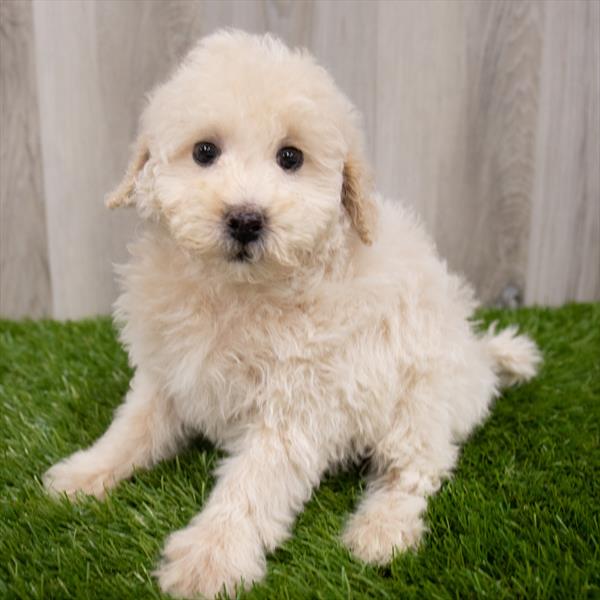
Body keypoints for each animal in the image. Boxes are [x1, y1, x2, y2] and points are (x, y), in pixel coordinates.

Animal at [42, 31, 540, 600]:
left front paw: (210, 557)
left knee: (416, 469)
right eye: (205, 151)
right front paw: (84, 474)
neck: (237, 290)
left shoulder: (298, 404)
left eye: (290, 157)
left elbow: (252, 484)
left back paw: (381, 531)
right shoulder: (168, 373)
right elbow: (133, 427)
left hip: (421, 398)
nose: (245, 219)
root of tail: (479, 356)